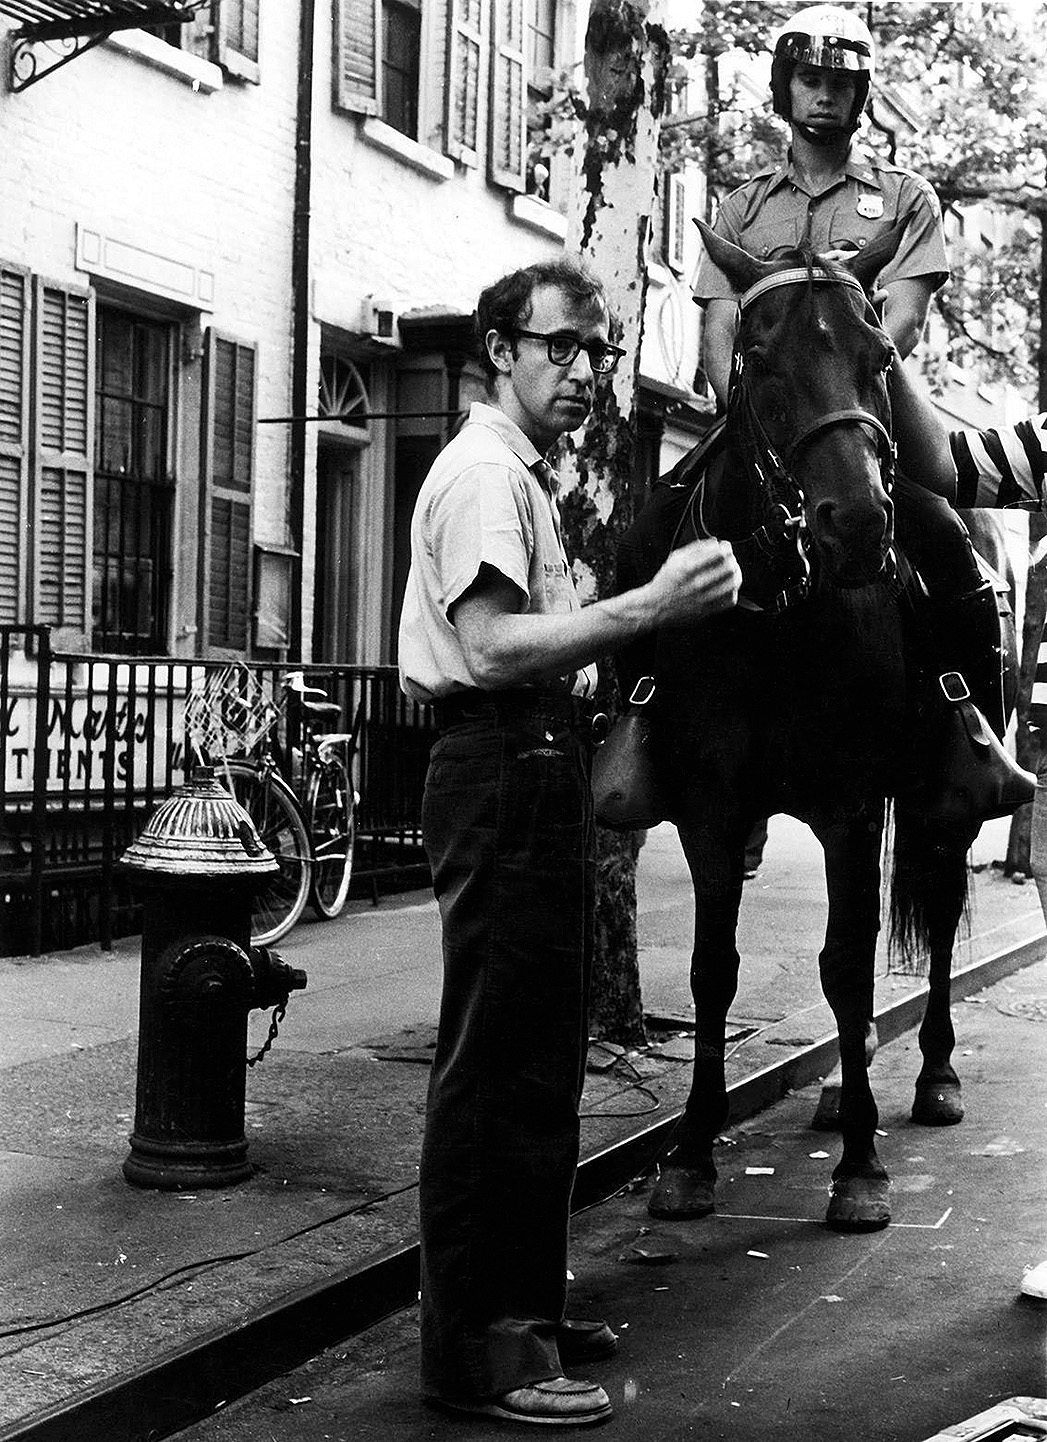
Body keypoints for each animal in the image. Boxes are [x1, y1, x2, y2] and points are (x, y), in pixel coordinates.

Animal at [628, 222, 1021, 1228]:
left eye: (879, 355)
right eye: (757, 358)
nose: (855, 523)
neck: (776, 611)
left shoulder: (847, 803)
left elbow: (845, 966)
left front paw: (860, 1169)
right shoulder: (711, 808)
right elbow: (712, 970)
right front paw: (690, 1154)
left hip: (940, 797)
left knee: (937, 911)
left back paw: (927, 1078)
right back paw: (851, 1085)